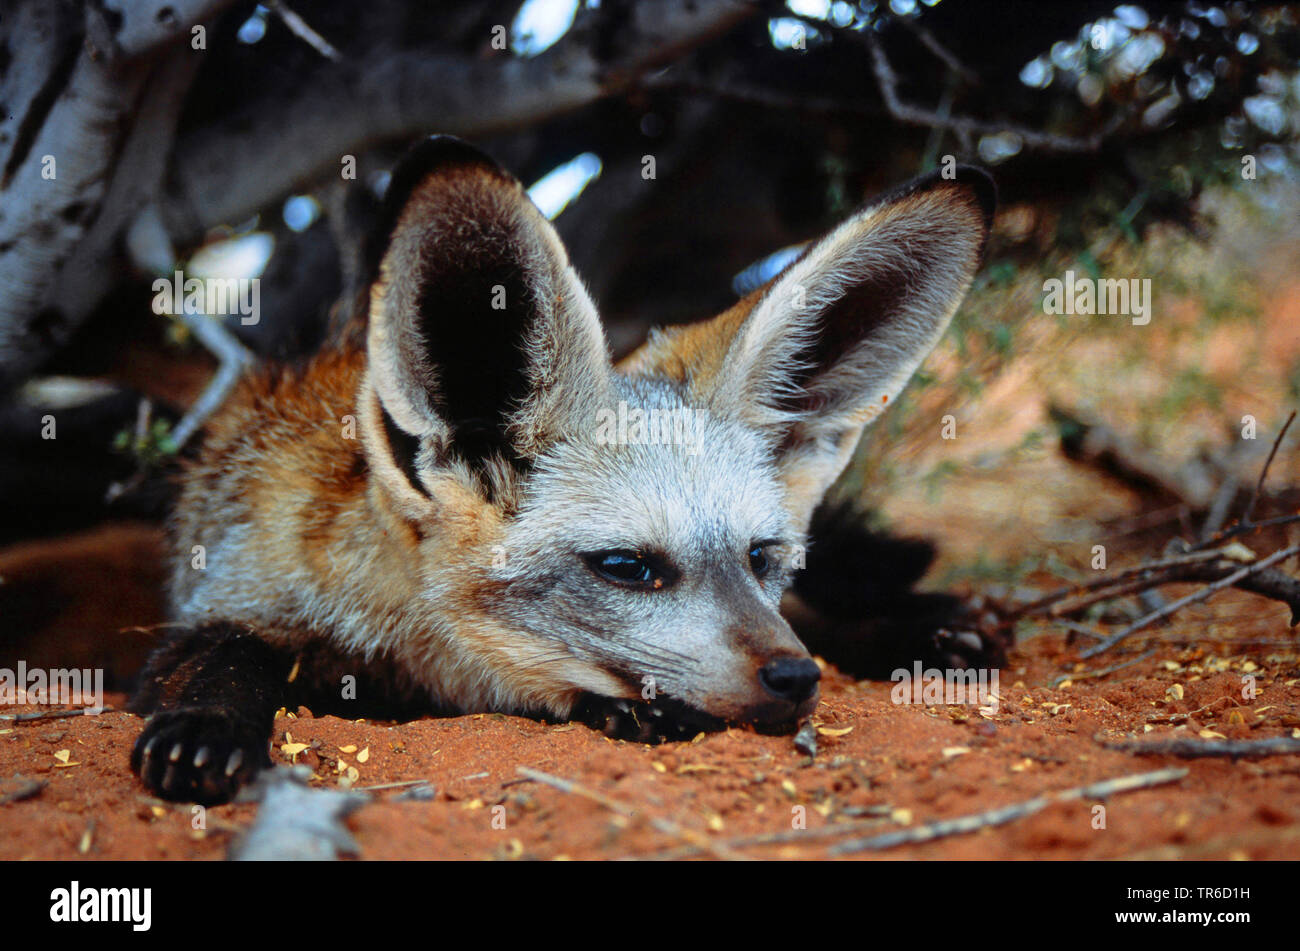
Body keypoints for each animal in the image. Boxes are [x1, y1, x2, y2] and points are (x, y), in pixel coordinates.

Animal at [128, 136, 997, 804]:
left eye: (760, 557)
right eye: (627, 567)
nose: (795, 678)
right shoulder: (236, 589)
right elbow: (229, 653)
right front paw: (208, 723)